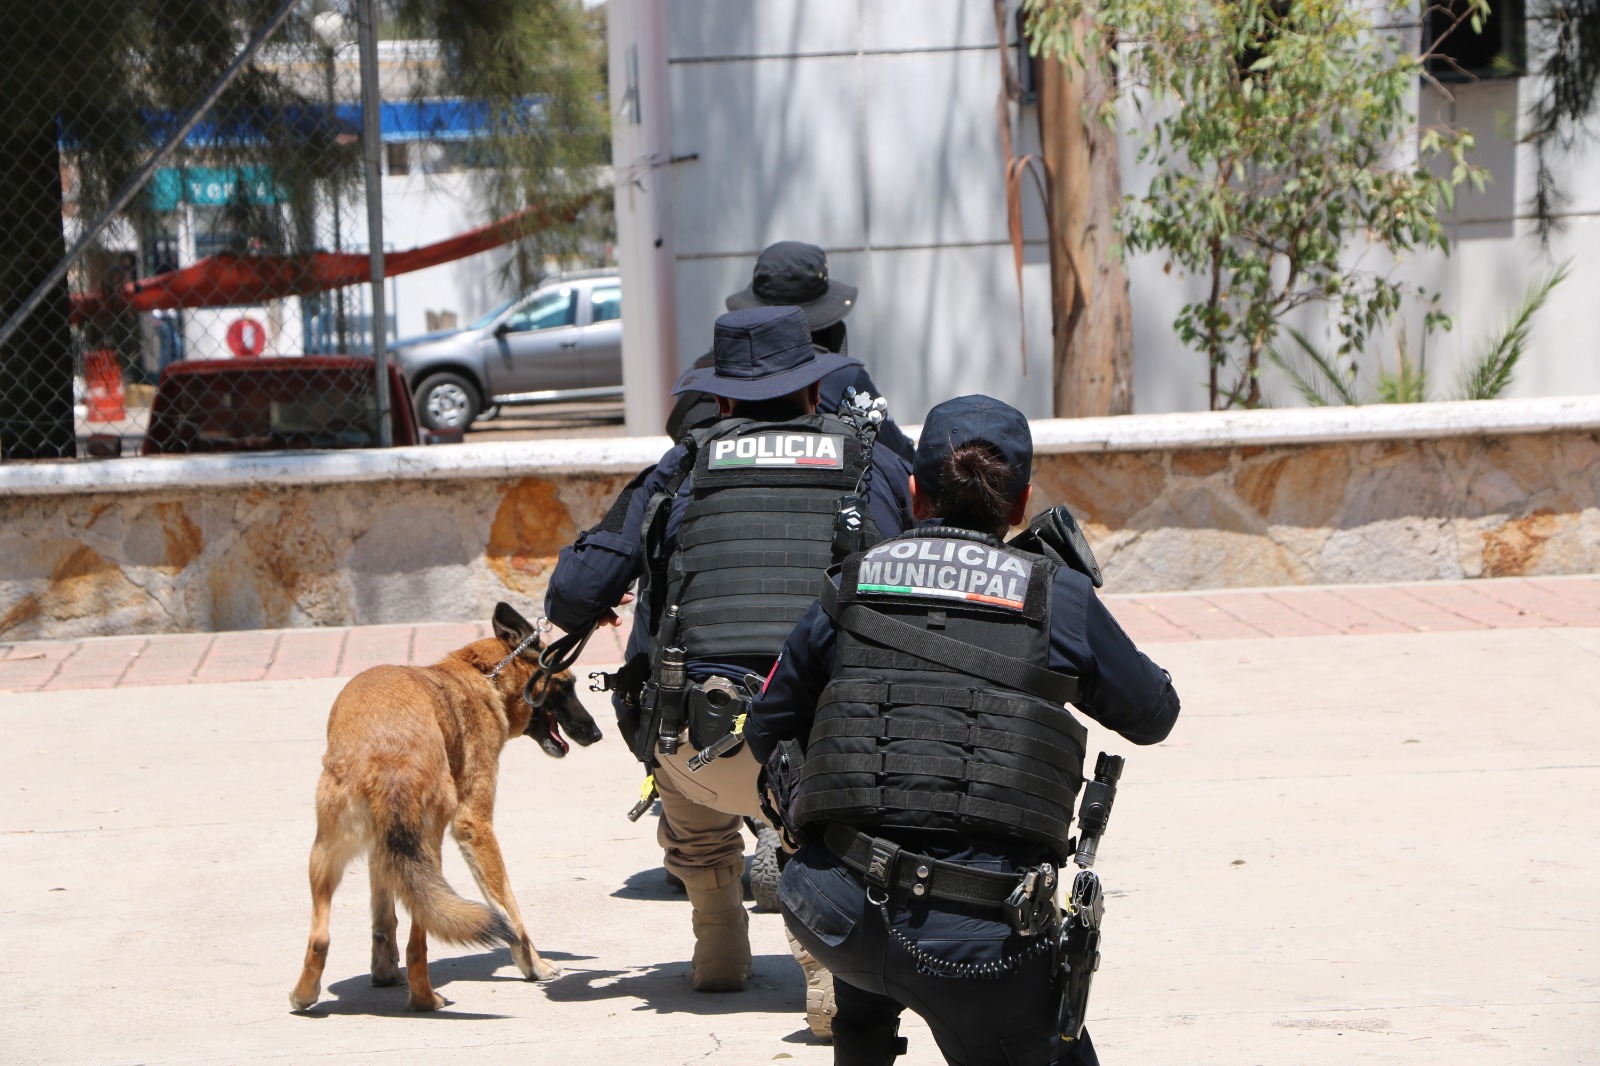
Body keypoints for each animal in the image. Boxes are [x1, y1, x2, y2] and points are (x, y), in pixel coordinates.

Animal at [289, 603, 603, 1012]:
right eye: (566, 686)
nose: (596, 733)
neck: (482, 675)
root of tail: (387, 755)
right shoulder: (475, 826)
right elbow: (510, 908)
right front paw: (534, 964)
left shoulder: (381, 850)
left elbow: (382, 917)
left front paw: (383, 971)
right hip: (430, 848)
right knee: (418, 943)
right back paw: (426, 999)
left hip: (326, 853)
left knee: (321, 937)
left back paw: (305, 994)